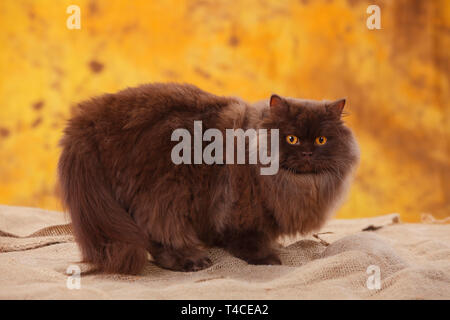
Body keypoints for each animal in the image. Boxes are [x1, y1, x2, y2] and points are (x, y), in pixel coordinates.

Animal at [57, 83, 358, 276]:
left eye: (321, 140)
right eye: (292, 138)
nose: (307, 152)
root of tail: (92, 117)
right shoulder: (242, 207)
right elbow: (248, 237)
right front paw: (266, 258)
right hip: (168, 192)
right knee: (160, 234)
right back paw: (192, 261)